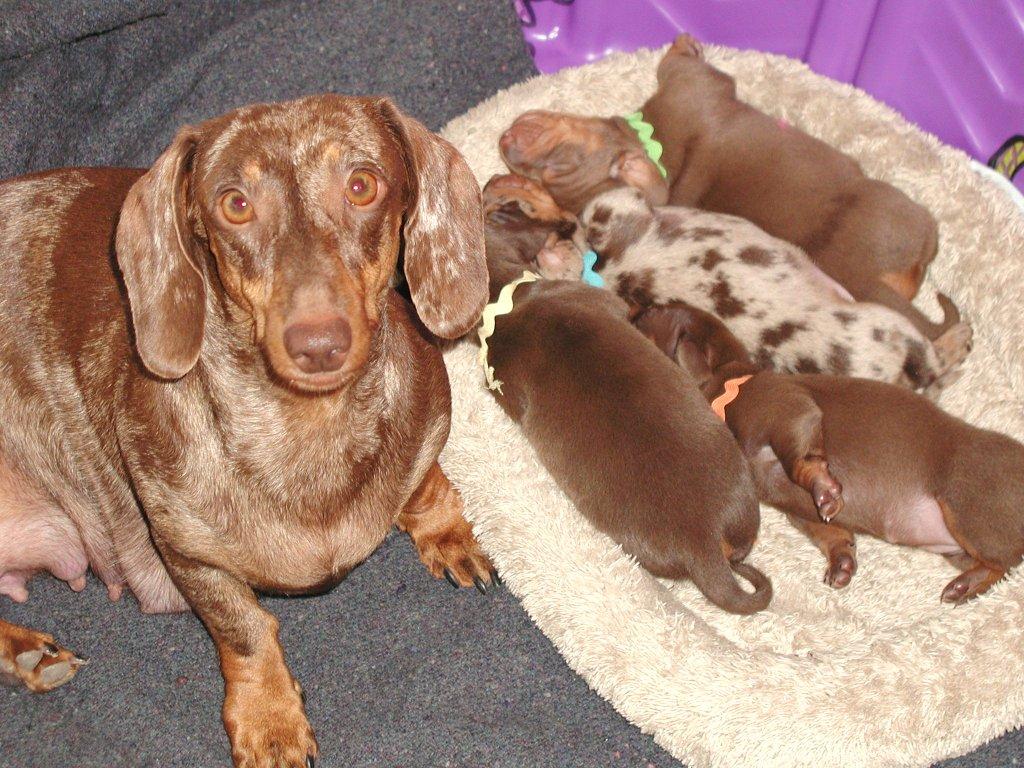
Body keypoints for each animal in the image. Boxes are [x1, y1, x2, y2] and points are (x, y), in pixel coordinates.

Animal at [501, 33, 950, 339]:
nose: (505, 142)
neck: (652, 142)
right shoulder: (696, 85)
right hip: (902, 222)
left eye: (555, 165)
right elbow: (690, 68)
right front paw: (684, 43)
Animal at [638, 303, 1024, 606]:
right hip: (957, 548)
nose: (637, 310)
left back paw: (965, 587)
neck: (733, 383)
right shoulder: (798, 512)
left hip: (966, 509)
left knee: (1003, 564)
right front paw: (841, 563)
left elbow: (802, 464)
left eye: (654, 314)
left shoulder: (789, 411)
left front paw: (825, 491)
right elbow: (830, 533)